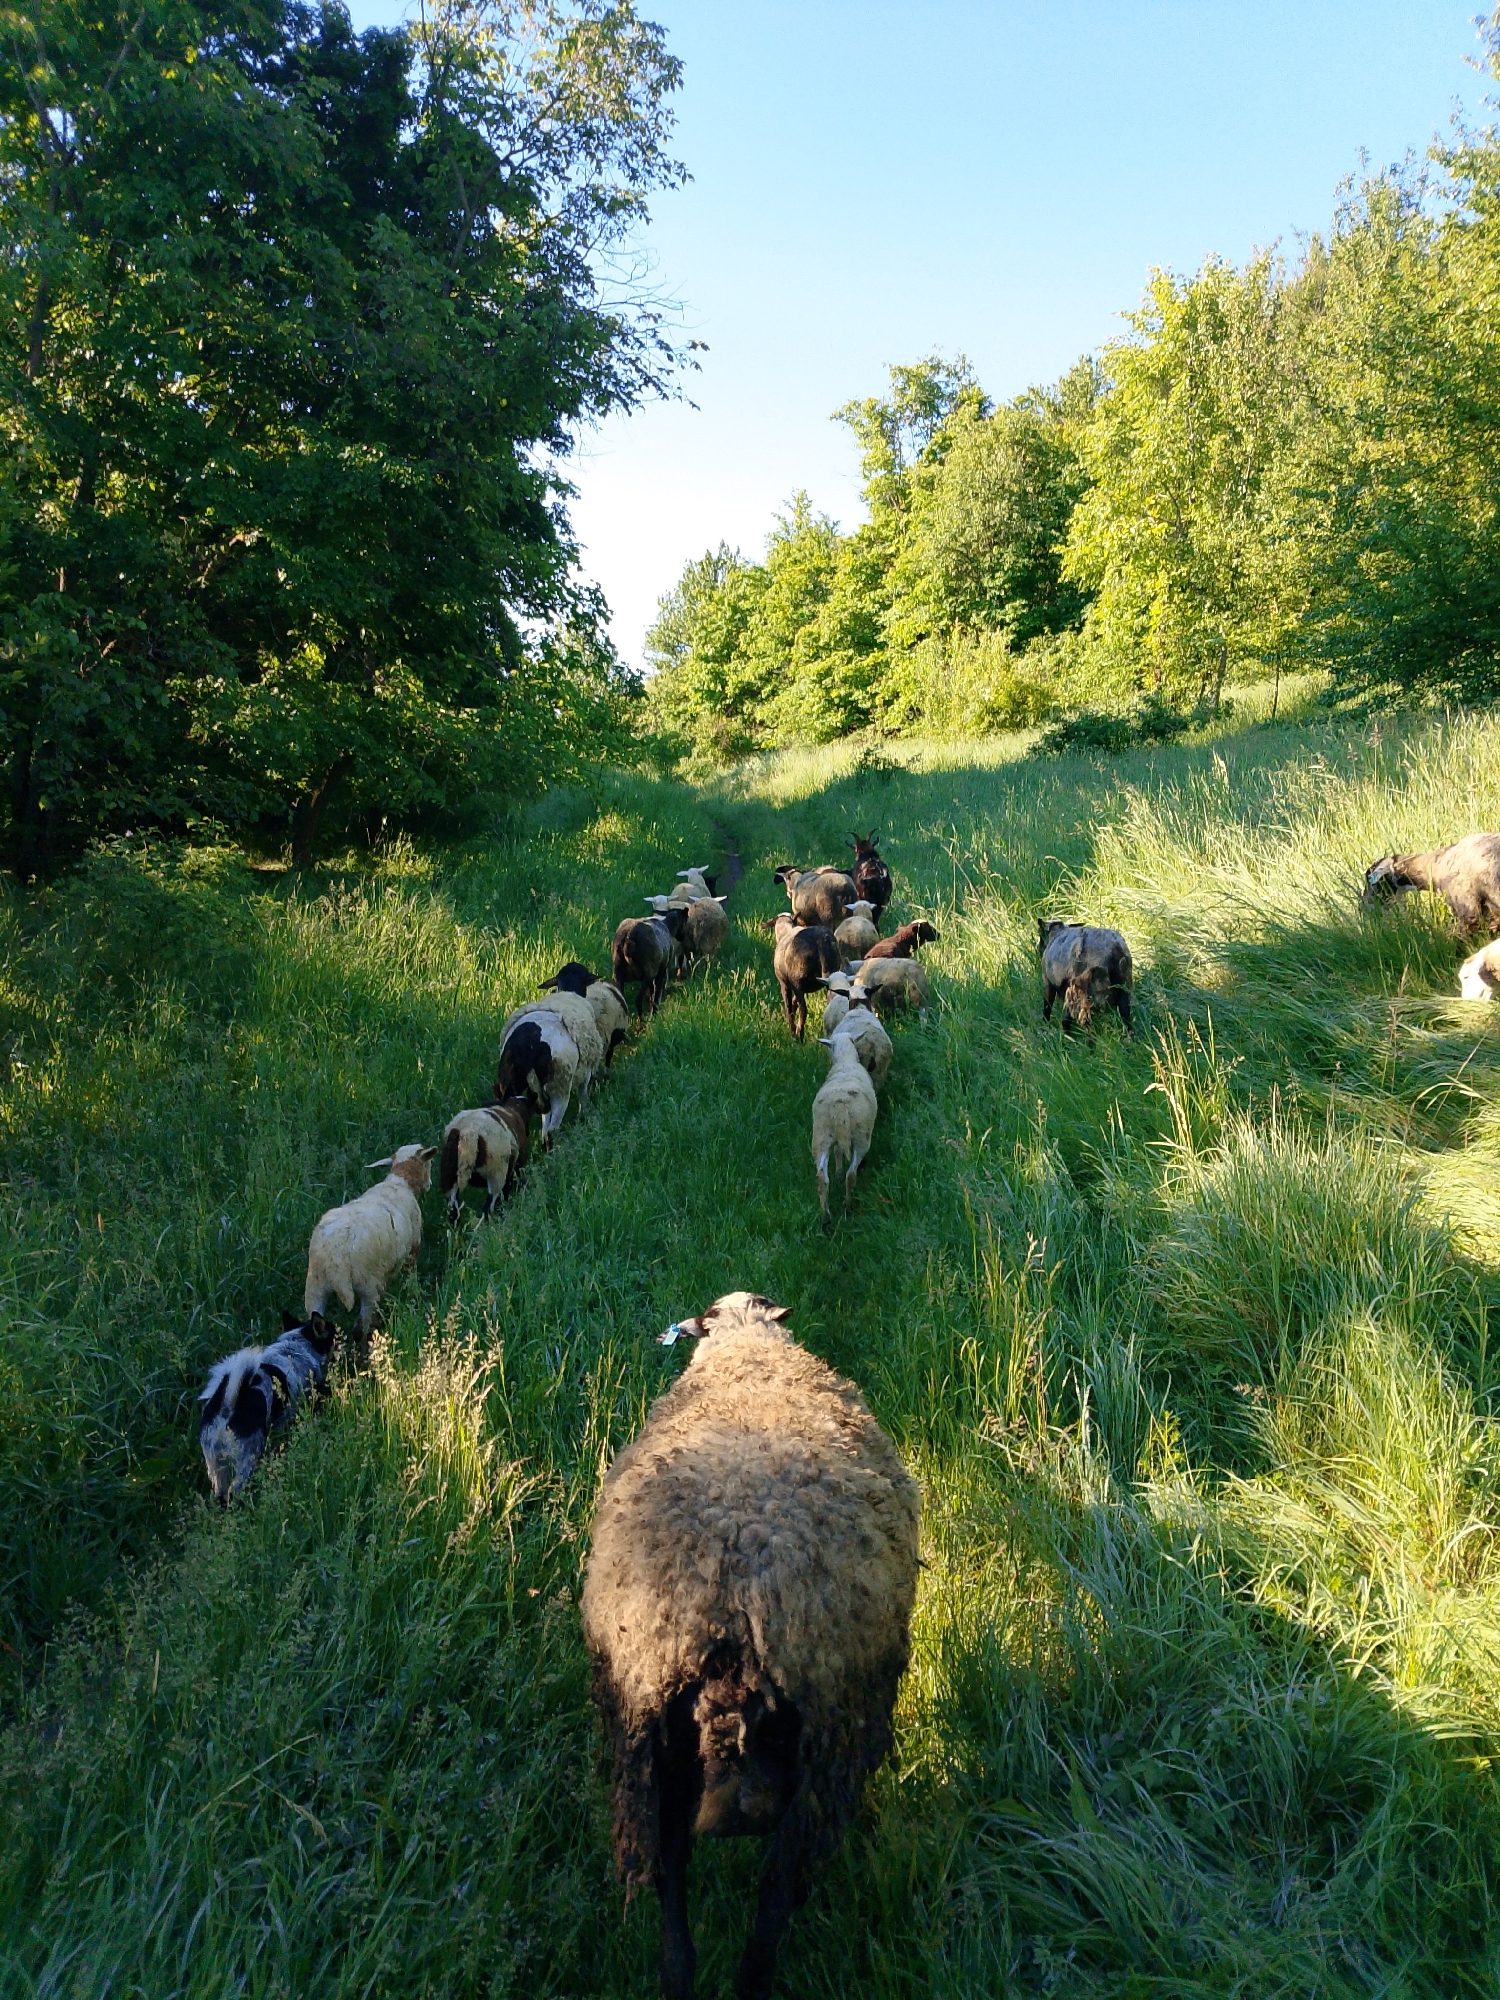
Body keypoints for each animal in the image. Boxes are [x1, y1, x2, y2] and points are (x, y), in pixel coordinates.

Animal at [198, 1311, 336, 1504]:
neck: (296, 1347)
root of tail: (226, 1408)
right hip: (246, 1459)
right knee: (236, 1491)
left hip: (217, 1466)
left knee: (221, 1495)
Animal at [304, 1143, 436, 1336]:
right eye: (429, 1163)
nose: (430, 1185)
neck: (400, 1181)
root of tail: (336, 1257)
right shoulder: (413, 1247)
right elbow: (411, 1278)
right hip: (369, 1286)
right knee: (359, 1329)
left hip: (315, 1284)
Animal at [581, 1290, 920, 2000]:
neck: (744, 1340)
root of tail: (734, 1606)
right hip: (808, 1758)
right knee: (766, 1901)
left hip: (671, 1758)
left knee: (692, 1905)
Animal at [771, 911, 842, 1040]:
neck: (785, 931)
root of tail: (822, 941)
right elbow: (794, 1003)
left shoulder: (785, 984)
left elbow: (789, 1008)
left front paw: (792, 1031)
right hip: (832, 974)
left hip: (798, 980)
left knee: (803, 1009)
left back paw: (799, 1034)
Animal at [811, 1033, 879, 1223]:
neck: (845, 1061)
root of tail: (839, 1105)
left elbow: (838, 1151)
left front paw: (838, 1173)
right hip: (861, 1136)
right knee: (852, 1174)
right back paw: (848, 1206)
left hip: (821, 1135)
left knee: (821, 1179)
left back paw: (826, 1218)